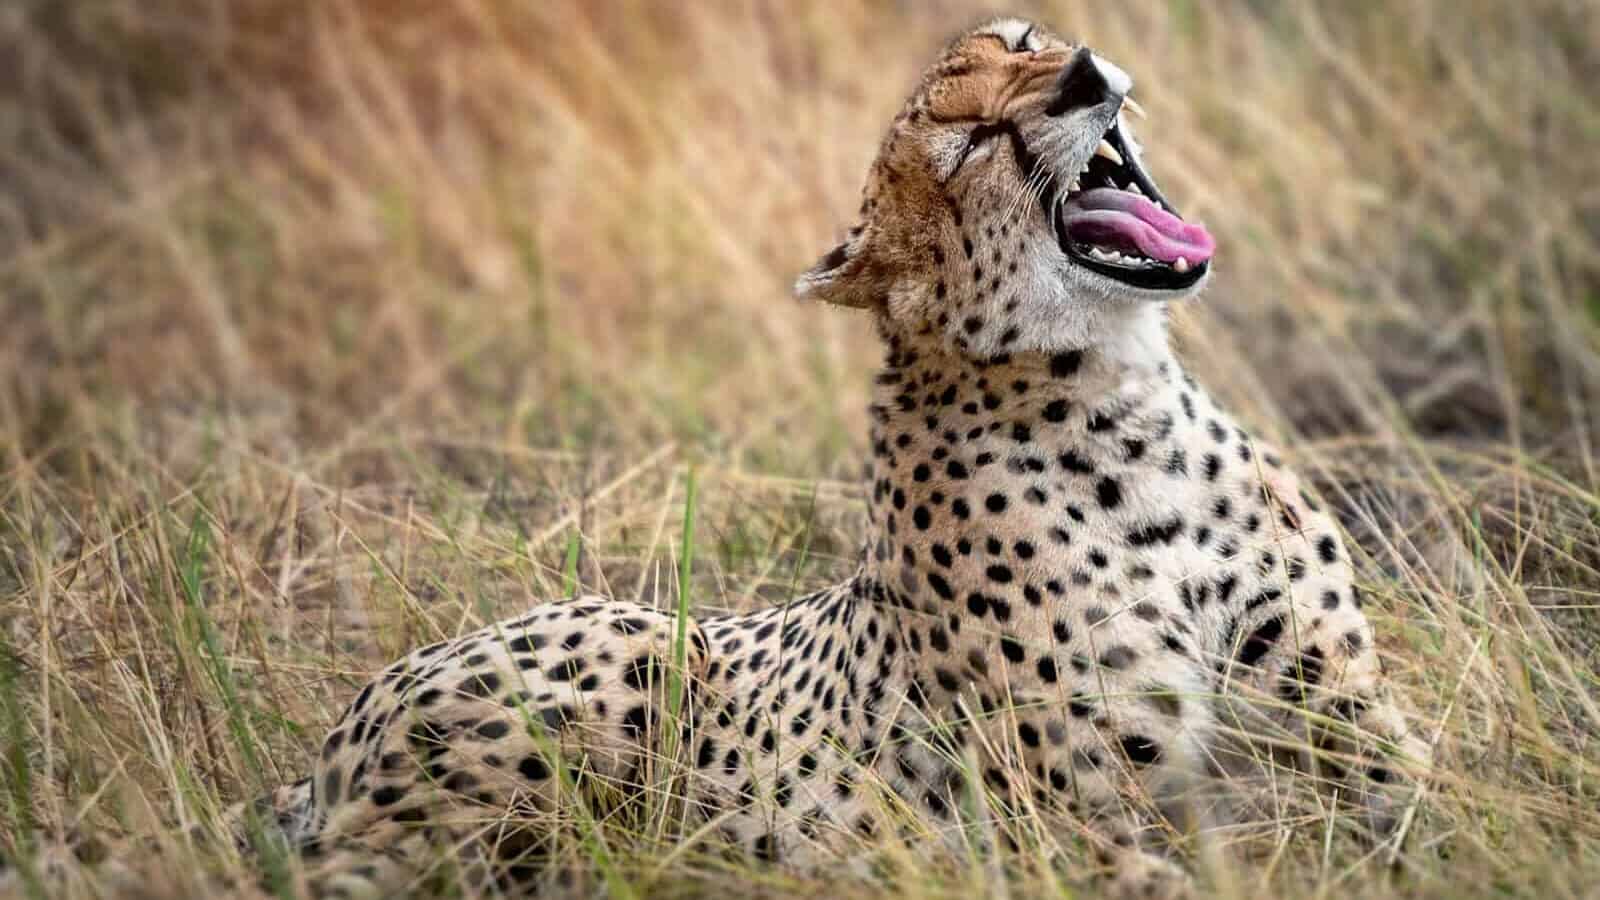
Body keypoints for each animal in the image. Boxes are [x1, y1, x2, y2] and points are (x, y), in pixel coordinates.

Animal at [12, 16, 1434, 900]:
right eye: (971, 140)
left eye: (1027, 47)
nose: (1087, 71)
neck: (1121, 403)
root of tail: (331, 743)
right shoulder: (1083, 818)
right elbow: (1193, 860)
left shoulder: (1339, 710)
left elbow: (1426, 789)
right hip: (604, 676)